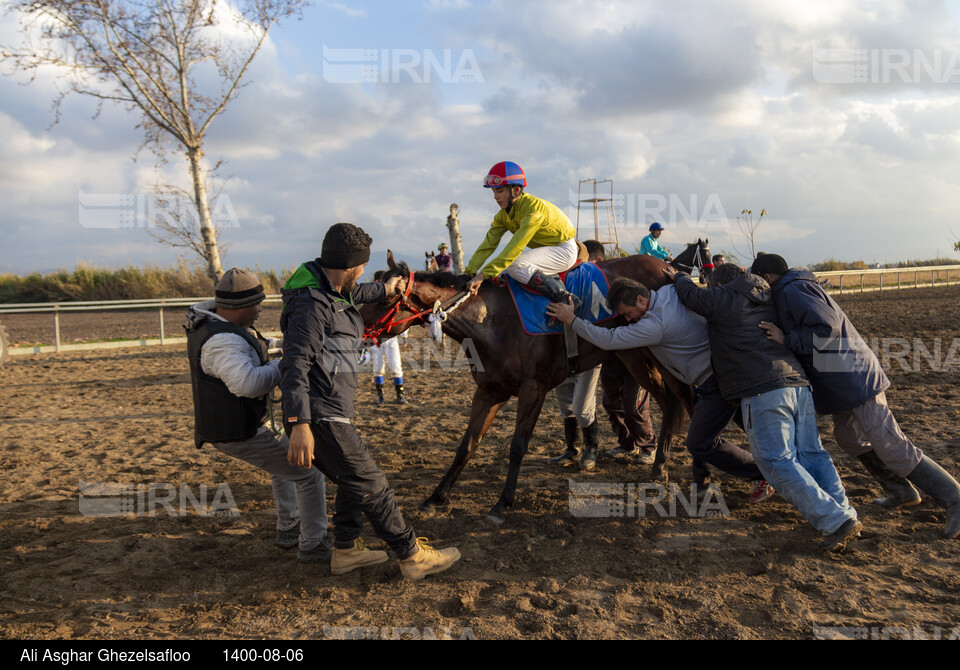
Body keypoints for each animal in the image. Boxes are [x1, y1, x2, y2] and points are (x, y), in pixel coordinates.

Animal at [364, 255, 692, 528]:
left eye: (384, 298)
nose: (361, 334)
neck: (490, 321)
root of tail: (667, 267)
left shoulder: (534, 389)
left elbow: (517, 446)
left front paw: (501, 504)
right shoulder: (489, 392)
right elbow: (466, 445)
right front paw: (436, 497)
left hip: (657, 351)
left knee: (679, 400)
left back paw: (670, 468)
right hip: (631, 353)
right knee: (669, 402)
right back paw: (660, 465)